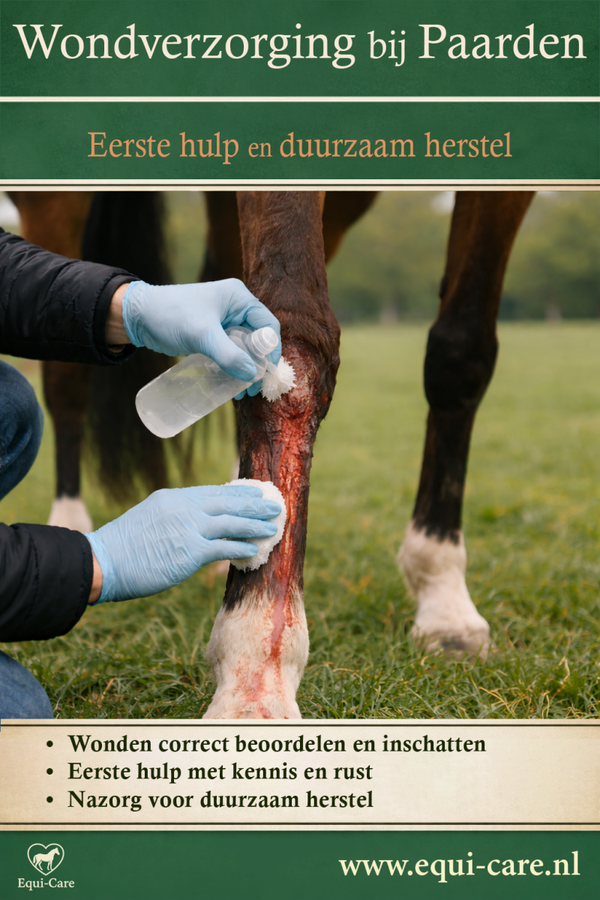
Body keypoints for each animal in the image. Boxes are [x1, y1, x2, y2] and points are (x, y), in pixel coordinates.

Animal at [8, 189, 533, 718]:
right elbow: (295, 338)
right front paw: (257, 669)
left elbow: (460, 354)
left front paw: (444, 597)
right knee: (65, 378)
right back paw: (71, 518)